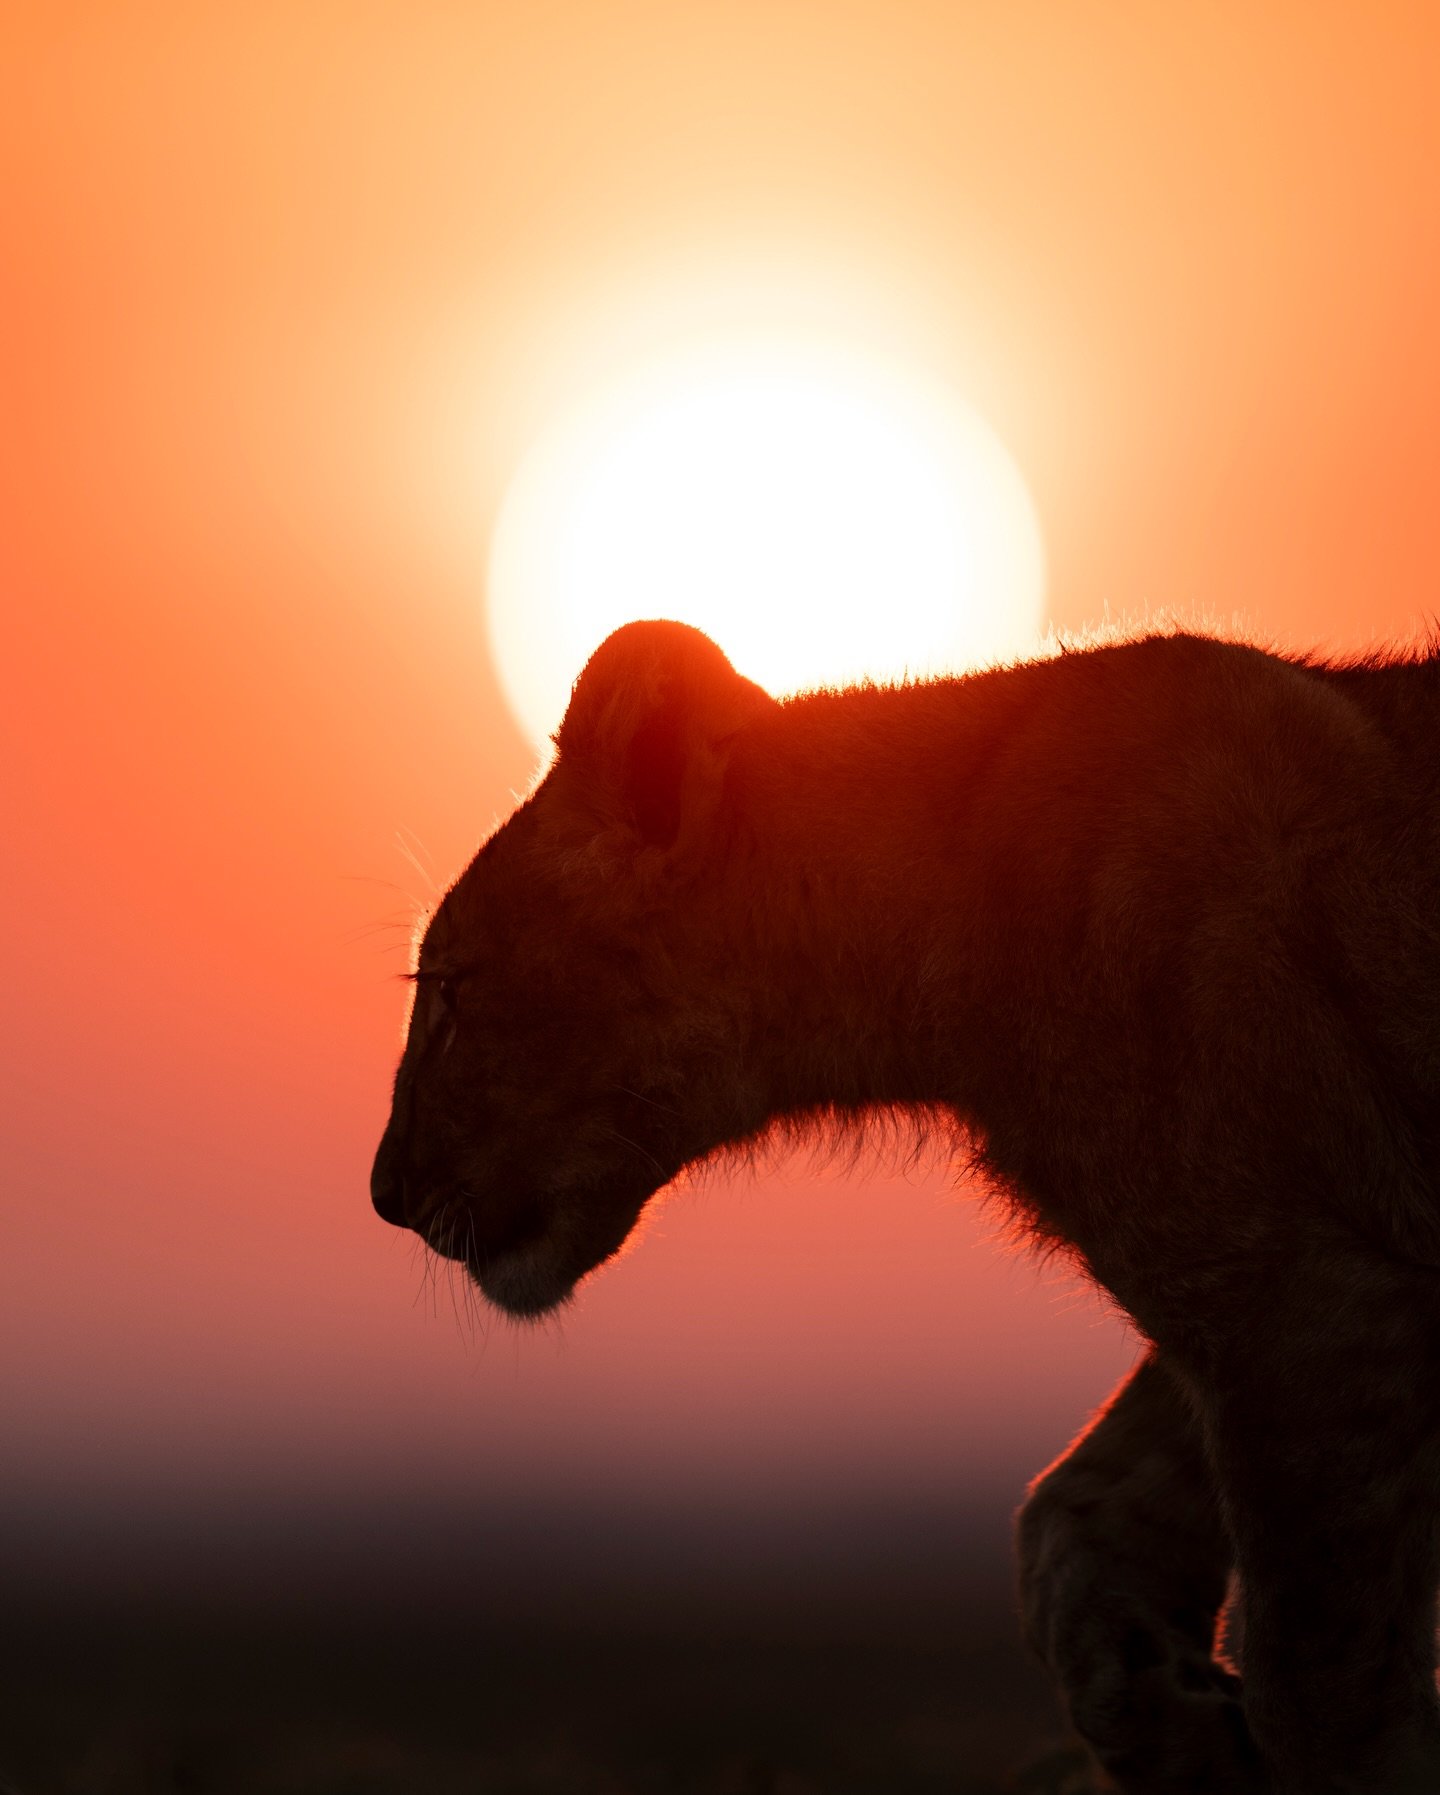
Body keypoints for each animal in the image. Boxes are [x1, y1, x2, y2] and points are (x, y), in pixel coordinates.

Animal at [371, 618, 1440, 1793]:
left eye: (451, 990)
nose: (383, 1192)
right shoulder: (1274, 1293)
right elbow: (1071, 1525)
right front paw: (1186, 1727)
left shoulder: (1298, 1304)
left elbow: (1322, 1685)